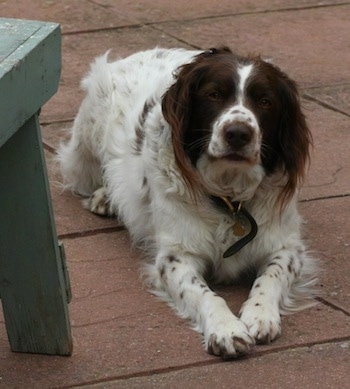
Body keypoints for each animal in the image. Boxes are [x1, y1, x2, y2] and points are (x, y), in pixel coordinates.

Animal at [58, 47, 318, 360]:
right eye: (214, 95)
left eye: (265, 101)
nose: (238, 133)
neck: (229, 198)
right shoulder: (176, 257)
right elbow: (203, 293)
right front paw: (226, 329)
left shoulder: (286, 248)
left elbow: (271, 276)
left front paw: (260, 315)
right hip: (87, 140)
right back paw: (106, 196)